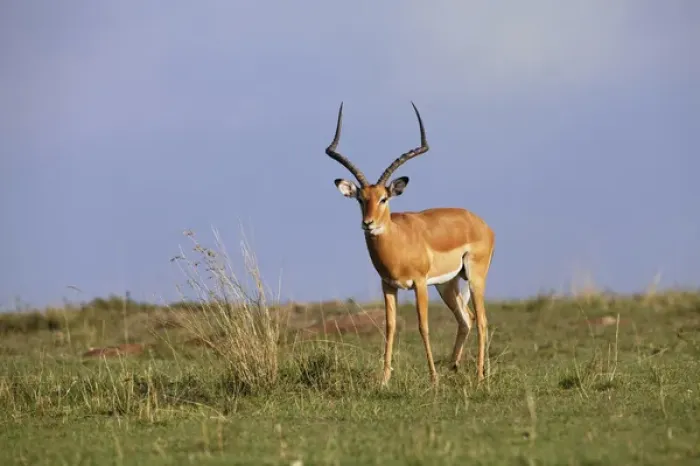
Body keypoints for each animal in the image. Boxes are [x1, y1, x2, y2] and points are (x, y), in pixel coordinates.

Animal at [325, 102, 496, 385]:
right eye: (361, 198)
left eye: (383, 198)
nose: (368, 223)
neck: (398, 241)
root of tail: (480, 223)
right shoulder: (388, 285)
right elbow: (390, 327)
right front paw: (384, 380)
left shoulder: (419, 283)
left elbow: (422, 326)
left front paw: (433, 378)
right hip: (447, 284)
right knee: (466, 318)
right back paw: (454, 366)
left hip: (474, 277)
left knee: (481, 319)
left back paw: (480, 376)